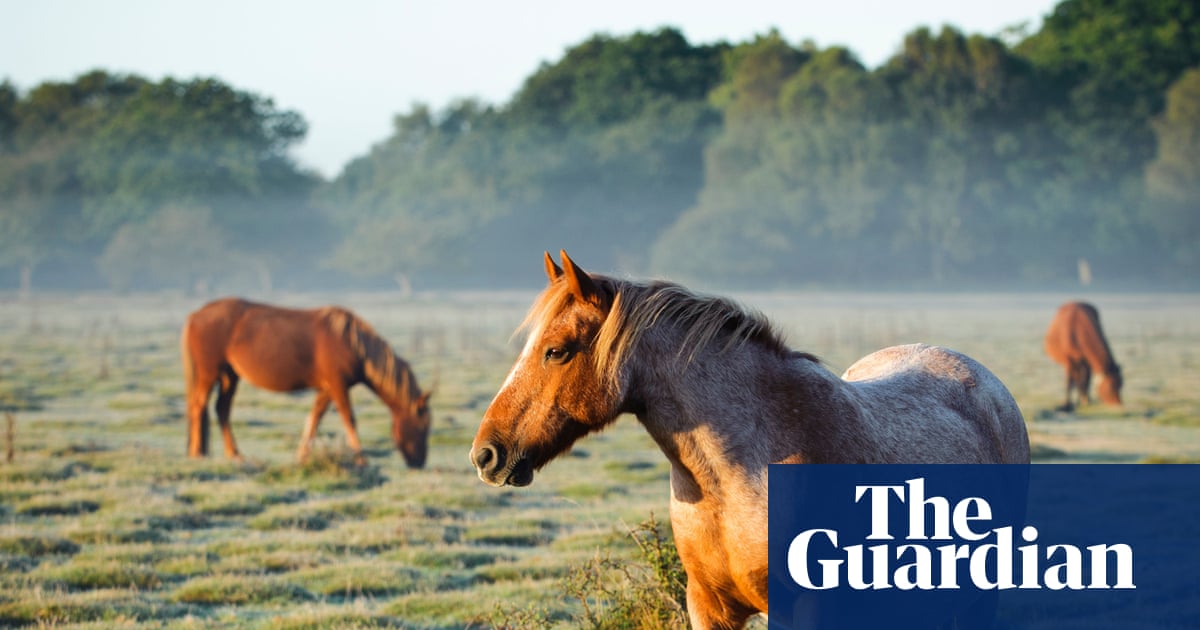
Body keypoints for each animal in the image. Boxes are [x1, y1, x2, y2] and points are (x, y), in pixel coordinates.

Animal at [181, 297, 433, 467]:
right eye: (423, 427)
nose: (419, 463)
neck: (353, 343)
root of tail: (195, 315)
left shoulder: (326, 388)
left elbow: (314, 419)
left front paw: (301, 456)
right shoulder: (337, 386)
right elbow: (349, 419)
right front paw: (361, 459)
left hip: (229, 376)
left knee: (221, 409)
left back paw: (234, 454)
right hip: (209, 374)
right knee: (198, 407)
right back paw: (197, 453)